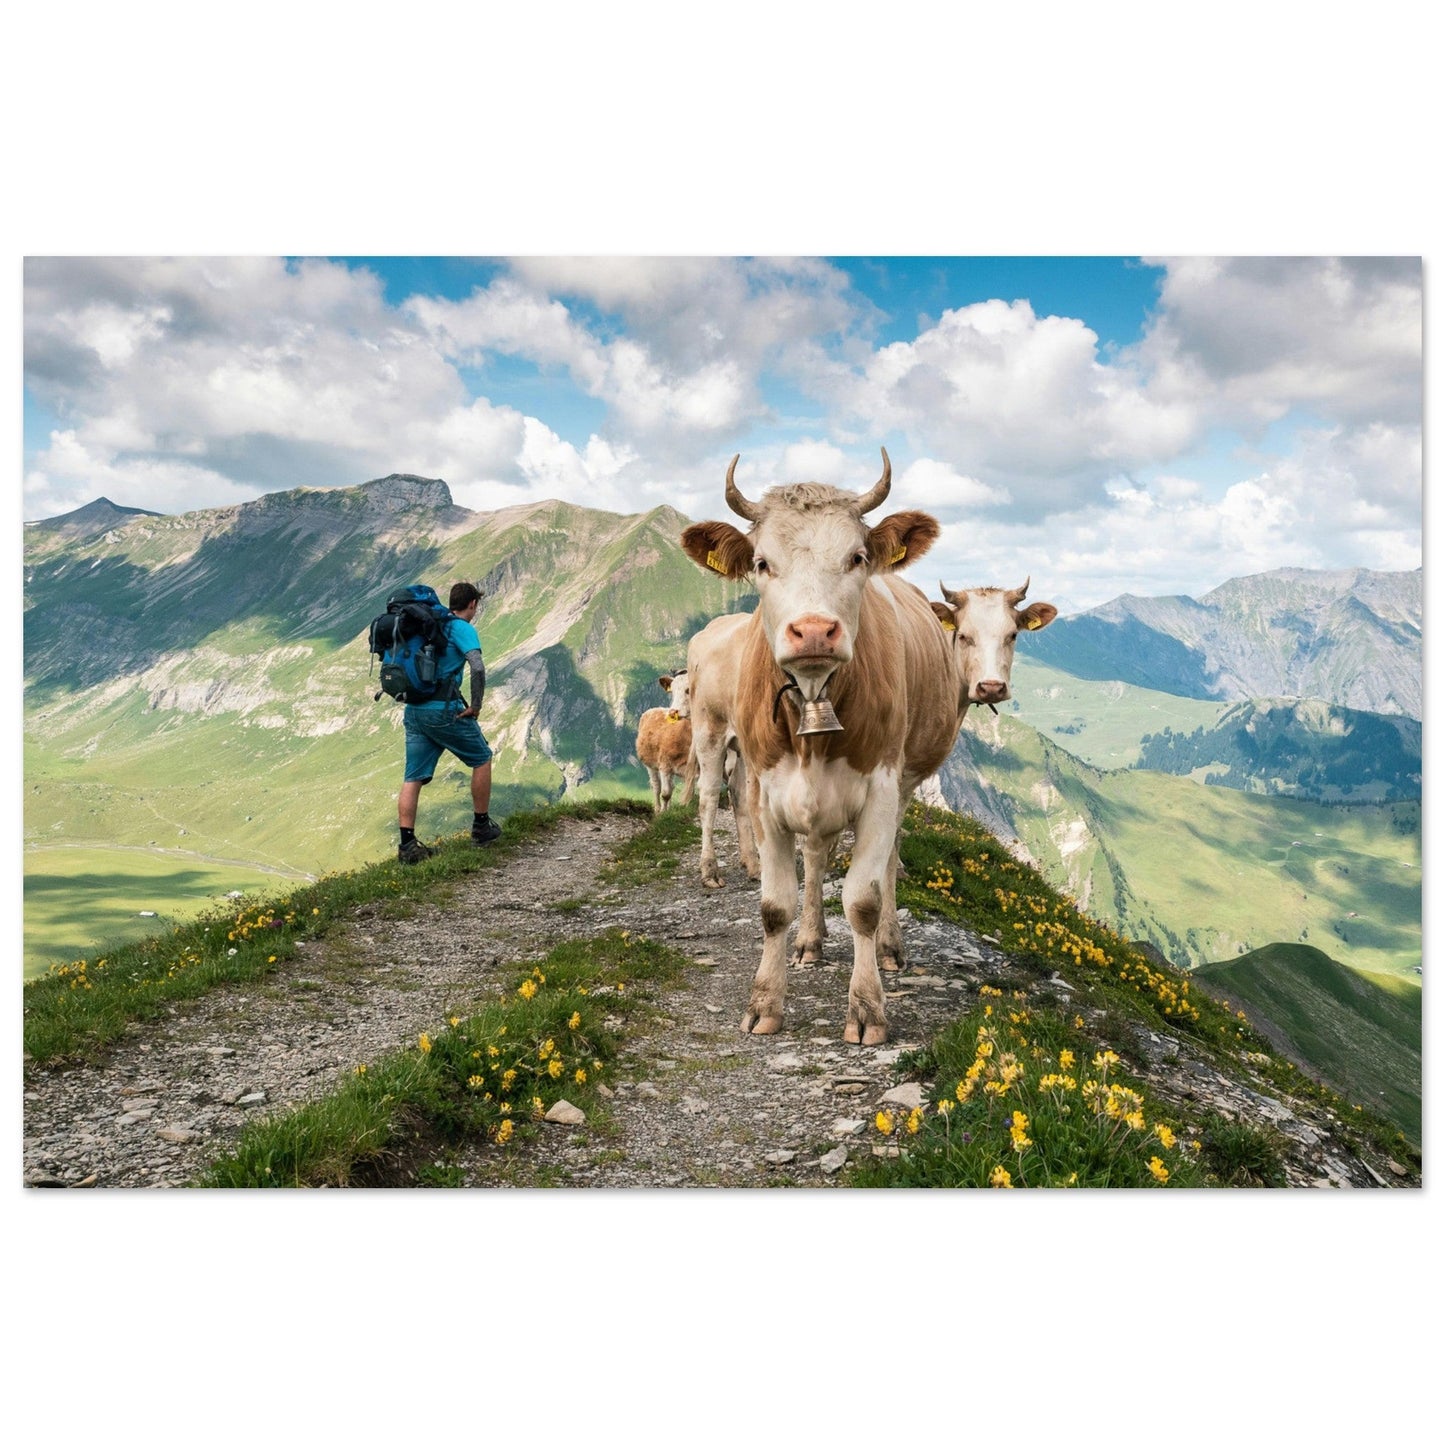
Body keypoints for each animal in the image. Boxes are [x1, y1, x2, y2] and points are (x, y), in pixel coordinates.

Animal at [635, 672, 693, 813]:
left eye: (688, 690)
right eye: (672, 691)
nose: (672, 712)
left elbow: (689, 792)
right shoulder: (665, 765)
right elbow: (665, 793)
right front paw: (663, 812)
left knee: (672, 786)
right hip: (650, 765)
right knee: (657, 787)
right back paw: (657, 809)